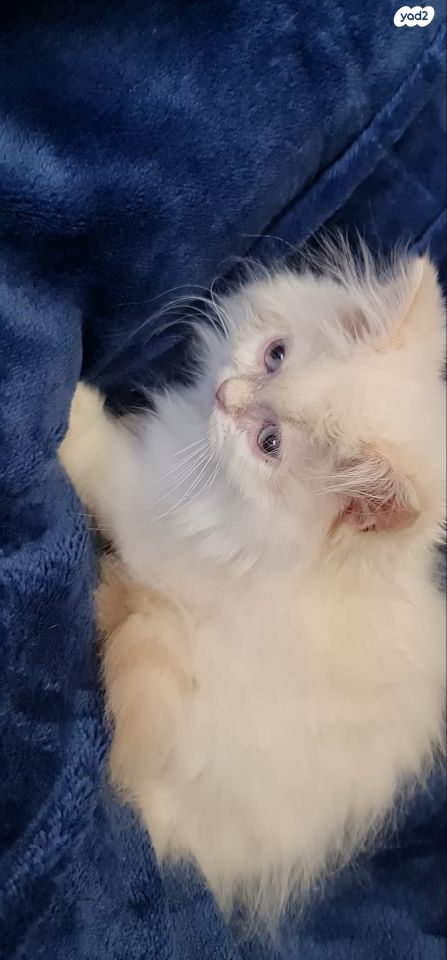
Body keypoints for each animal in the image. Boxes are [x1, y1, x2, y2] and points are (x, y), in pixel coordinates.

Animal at [60, 245, 446, 922]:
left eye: (269, 444)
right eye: (276, 355)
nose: (224, 393)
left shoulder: (152, 510)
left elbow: (100, 459)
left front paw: (71, 412)